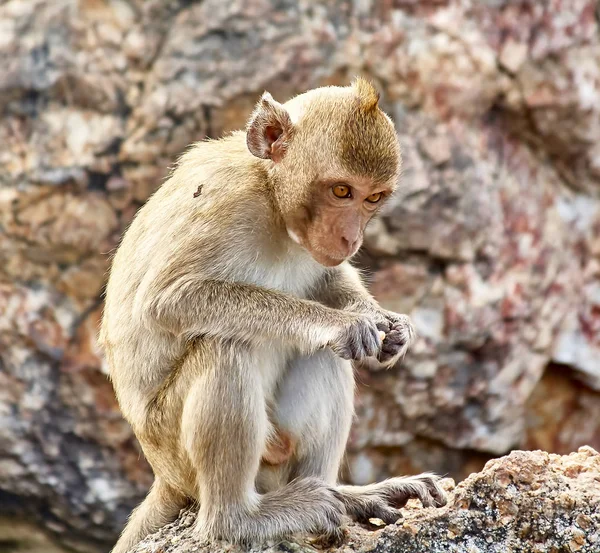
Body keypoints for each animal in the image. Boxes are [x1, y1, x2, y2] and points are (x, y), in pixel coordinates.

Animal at [101, 77, 442, 552]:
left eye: (373, 197)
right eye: (341, 191)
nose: (351, 237)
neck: (272, 197)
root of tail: (163, 475)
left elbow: (328, 279)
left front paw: (388, 324)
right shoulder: (226, 202)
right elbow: (168, 299)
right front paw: (341, 323)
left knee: (325, 357)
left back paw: (346, 495)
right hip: (172, 445)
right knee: (225, 346)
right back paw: (240, 519)